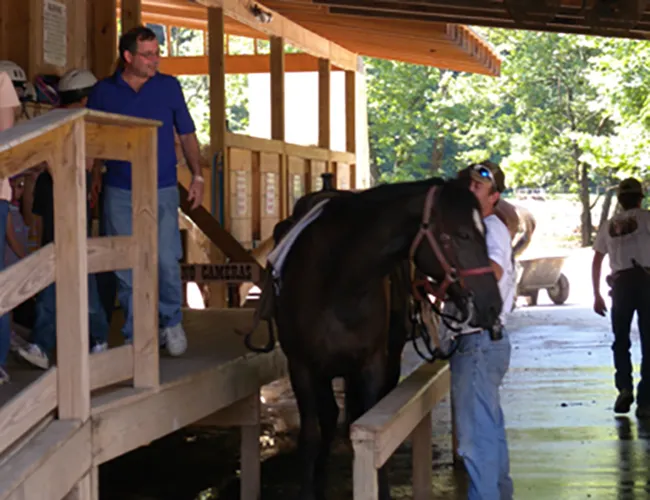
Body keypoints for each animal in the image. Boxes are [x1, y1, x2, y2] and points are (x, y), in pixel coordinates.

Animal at [266, 178, 498, 498]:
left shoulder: (372, 364)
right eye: (462, 234)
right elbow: (310, 437)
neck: (336, 279)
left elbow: (376, 438)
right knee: (329, 418)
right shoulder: (301, 366)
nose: (493, 305)